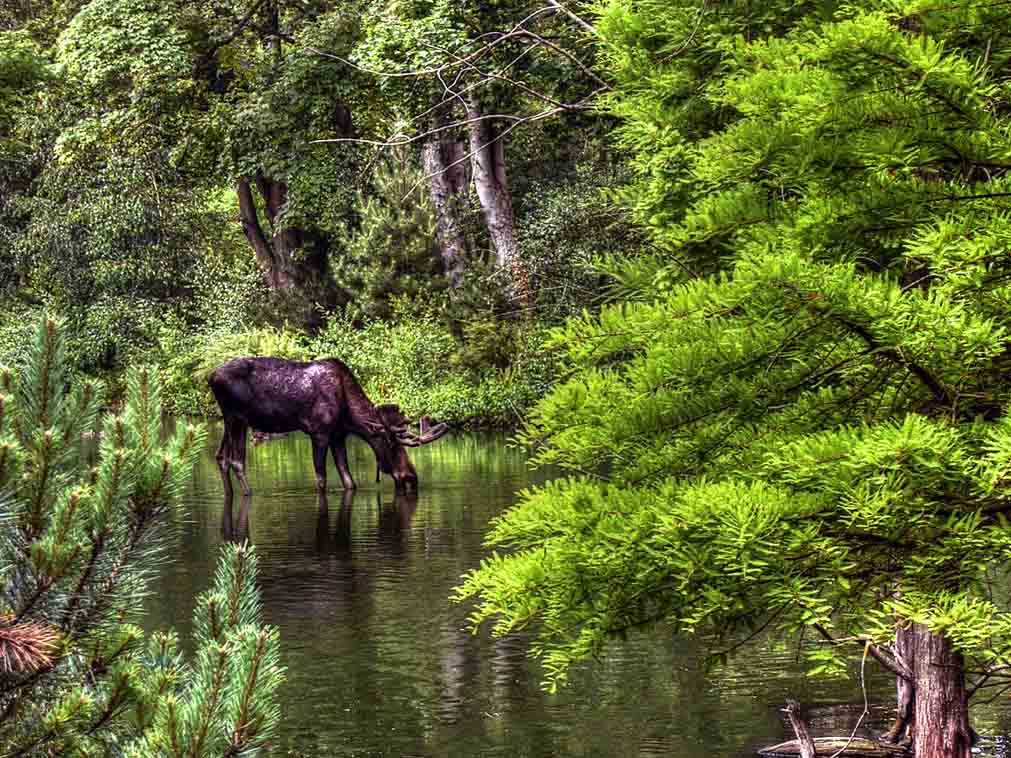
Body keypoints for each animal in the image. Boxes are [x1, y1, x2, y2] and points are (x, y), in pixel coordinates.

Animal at [207, 357, 448, 511]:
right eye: (391, 443)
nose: (411, 477)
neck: (349, 414)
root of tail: (211, 377)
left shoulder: (338, 435)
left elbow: (349, 481)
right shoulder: (319, 432)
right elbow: (321, 479)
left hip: (230, 420)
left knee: (221, 457)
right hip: (237, 417)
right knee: (236, 460)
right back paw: (249, 494)